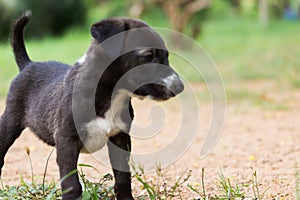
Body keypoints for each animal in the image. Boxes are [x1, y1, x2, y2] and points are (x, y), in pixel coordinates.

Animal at [0, 12, 184, 200]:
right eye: (148, 56)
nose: (180, 87)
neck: (111, 95)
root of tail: (28, 65)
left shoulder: (121, 137)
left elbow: (123, 177)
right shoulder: (66, 140)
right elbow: (71, 184)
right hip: (9, 121)